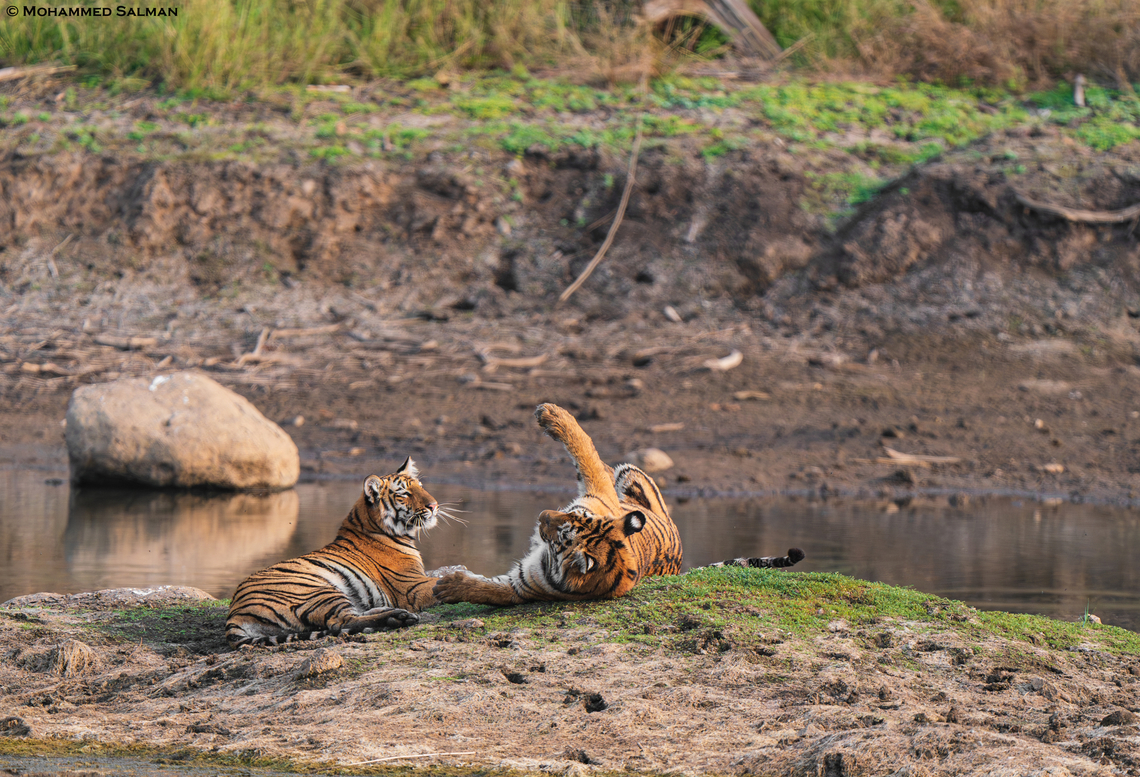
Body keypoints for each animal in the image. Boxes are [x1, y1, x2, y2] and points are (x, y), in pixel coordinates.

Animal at [225, 457, 448, 647]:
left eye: (421, 487)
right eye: (403, 494)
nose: (434, 505)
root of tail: (233, 615)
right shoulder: (413, 586)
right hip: (316, 592)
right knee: (342, 622)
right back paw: (397, 618)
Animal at [433, 403, 804, 607]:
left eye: (560, 537)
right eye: (570, 514)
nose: (540, 517)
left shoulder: (524, 587)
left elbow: (487, 590)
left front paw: (448, 585)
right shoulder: (598, 492)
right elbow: (585, 449)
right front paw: (552, 414)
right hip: (630, 474)